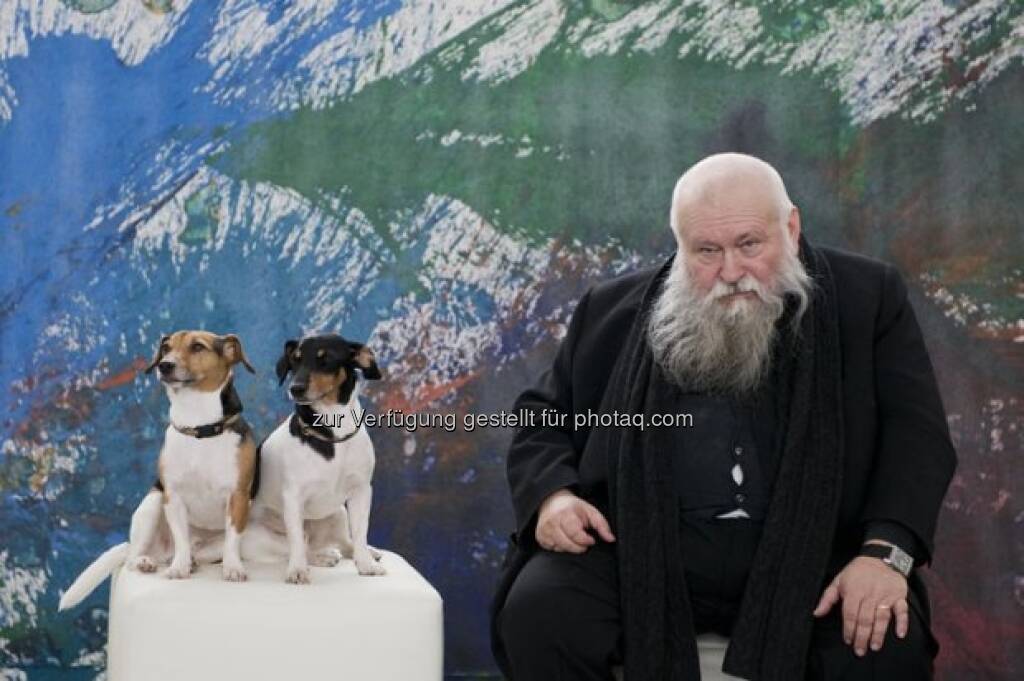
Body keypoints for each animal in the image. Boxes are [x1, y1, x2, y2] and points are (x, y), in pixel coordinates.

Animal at [58, 329, 260, 610]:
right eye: (165, 348)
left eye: (198, 347)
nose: (164, 365)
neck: (199, 427)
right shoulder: (172, 496)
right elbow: (181, 538)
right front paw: (178, 568)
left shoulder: (238, 496)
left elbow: (232, 538)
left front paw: (232, 568)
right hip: (152, 504)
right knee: (132, 557)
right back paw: (147, 561)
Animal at [249, 331, 385, 581]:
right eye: (295, 360)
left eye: (326, 359)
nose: (295, 388)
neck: (331, 432)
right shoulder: (293, 497)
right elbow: (295, 542)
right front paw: (297, 571)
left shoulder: (361, 491)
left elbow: (360, 533)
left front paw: (366, 564)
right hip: (264, 536)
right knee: (299, 546)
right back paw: (320, 557)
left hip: (339, 512)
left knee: (345, 543)